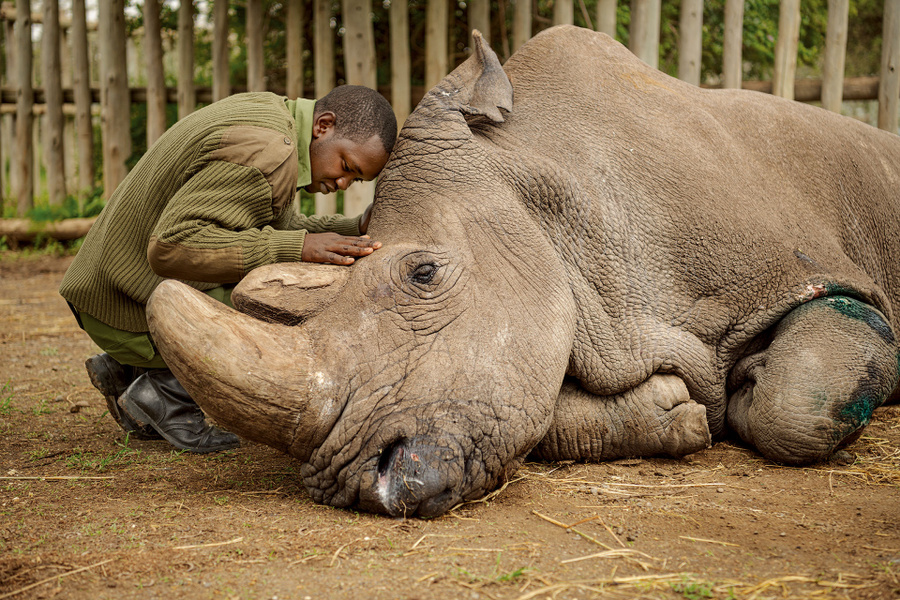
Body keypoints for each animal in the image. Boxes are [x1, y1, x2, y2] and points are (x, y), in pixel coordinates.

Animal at [148, 25, 900, 516]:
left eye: (424, 274)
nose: (360, 486)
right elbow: (537, 413)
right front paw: (678, 412)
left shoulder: (803, 275)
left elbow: (797, 402)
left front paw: (747, 388)